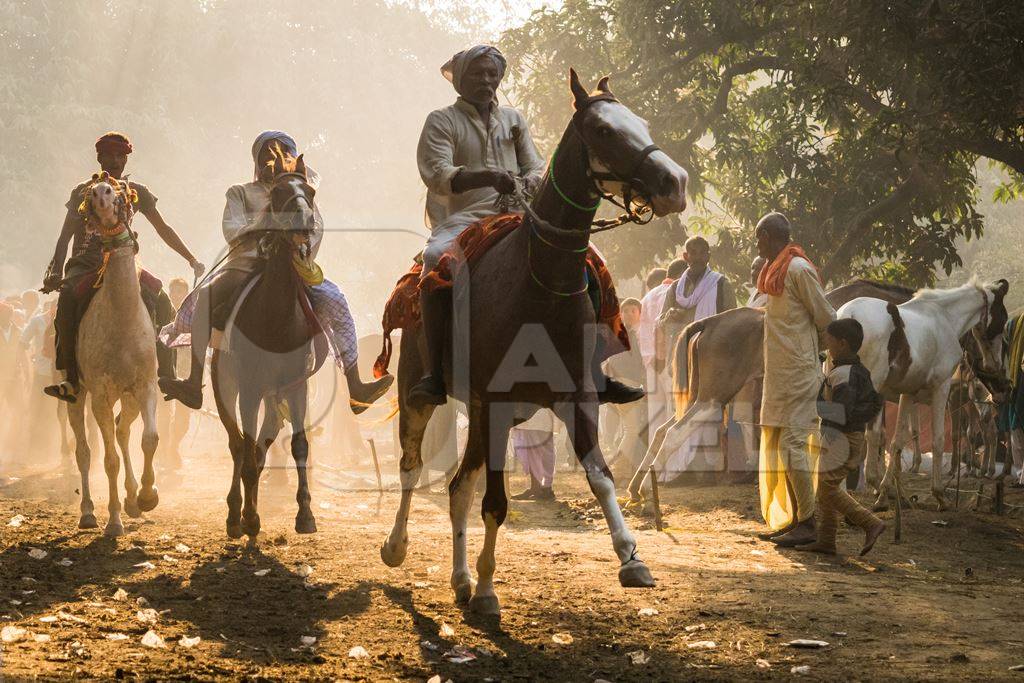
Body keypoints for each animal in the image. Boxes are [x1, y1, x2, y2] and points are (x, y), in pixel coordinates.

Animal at [206, 150, 319, 540]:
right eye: (280, 194)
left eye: (309, 192)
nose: (303, 225)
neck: (276, 321)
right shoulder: (250, 388)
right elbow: (245, 445)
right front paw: (249, 517)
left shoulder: (297, 386)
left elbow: (299, 445)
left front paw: (305, 515)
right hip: (228, 387)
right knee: (239, 445)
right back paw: (236, 514)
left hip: (274, 396)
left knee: (260, 444)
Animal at [378, 72, 688, 618]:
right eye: (604, 130)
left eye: (643, 123)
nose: (675, 183)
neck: (539, 285)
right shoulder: (497, 403)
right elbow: (495, 503)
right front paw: (487, 590)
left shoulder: (576, 397)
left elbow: (600, 475)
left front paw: (631, 558)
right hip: (425, 394)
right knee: (413, 467)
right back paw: (398, 547)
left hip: (487, 412)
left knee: (458, 487)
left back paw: (460, 578)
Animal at [839, 278, 1007, 511]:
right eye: (1003, 318)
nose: (996, 365)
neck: (945, 318)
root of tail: (850, 314)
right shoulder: (942, 388)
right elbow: (938, 439)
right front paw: (939, 494)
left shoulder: (908, 393)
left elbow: (897, 441)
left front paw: (888, 493)